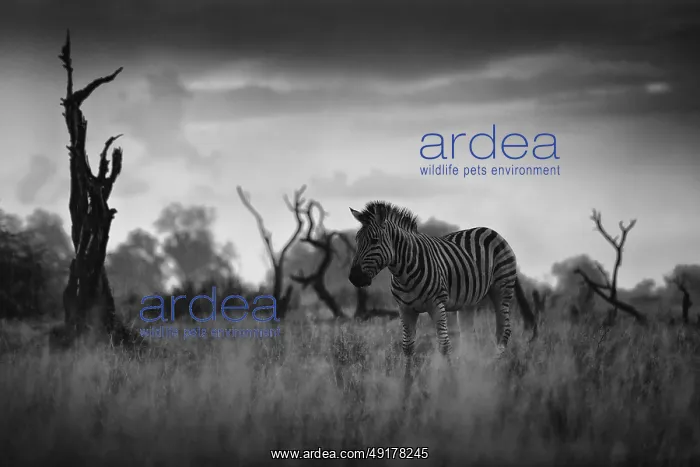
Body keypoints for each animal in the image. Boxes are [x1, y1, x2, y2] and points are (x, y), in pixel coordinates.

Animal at [347, 201, 537, 384]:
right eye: (356, 240)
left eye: (374, 240)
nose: (354, 278)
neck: (403, 273)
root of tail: (489, 230)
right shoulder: (405, 309)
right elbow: (407, 347)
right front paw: (406, 385)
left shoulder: (436, 304)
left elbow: (444, 345)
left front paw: (451, 383)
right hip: (469, 302)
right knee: (469, 337)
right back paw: (470, 371)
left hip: (502, 289)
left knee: (503, 331)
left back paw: (493, 369)